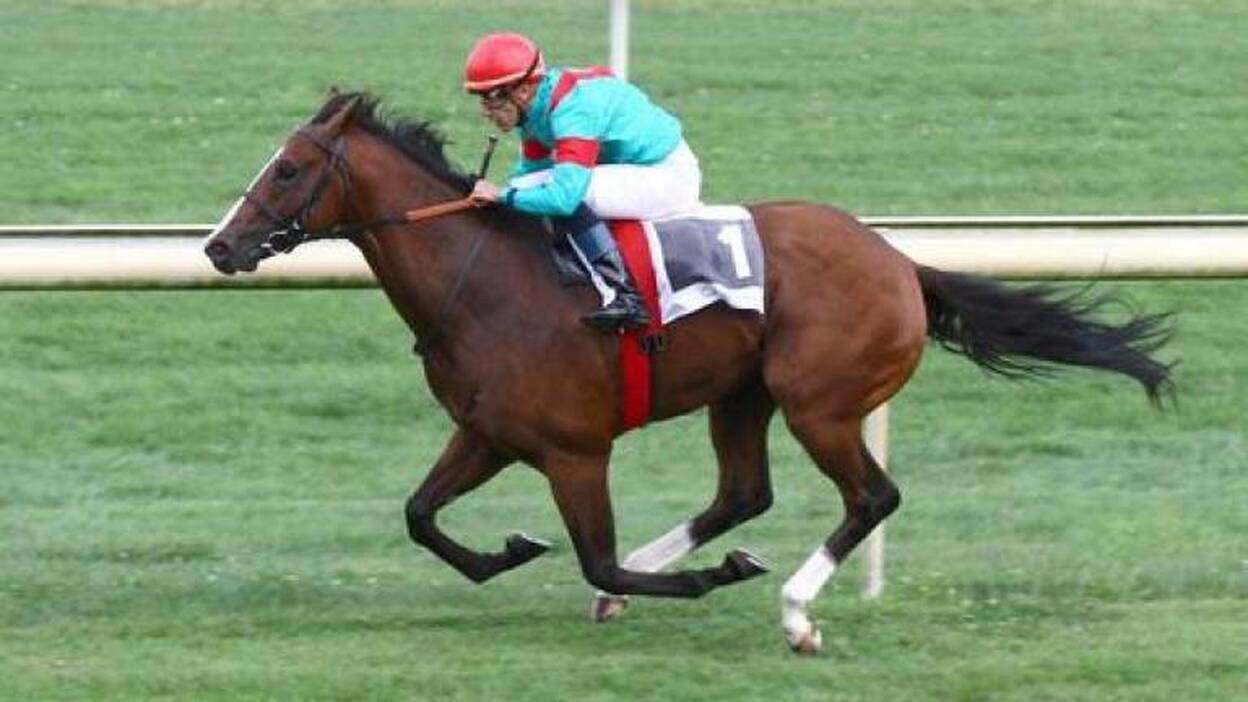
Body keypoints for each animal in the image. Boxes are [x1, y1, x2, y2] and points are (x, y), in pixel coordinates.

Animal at [203, 92, 1173, 653]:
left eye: (288, 169)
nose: (218, 247)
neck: (485, 282)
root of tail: (900, 262)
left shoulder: (574, 449)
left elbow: (596, 559)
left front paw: (706, 579)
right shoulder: (488, 432)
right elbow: (419, 517)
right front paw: (511, 550)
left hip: (819, 403)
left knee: (871, 497)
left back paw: (794, 611)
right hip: (742, 398)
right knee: (743, 493)